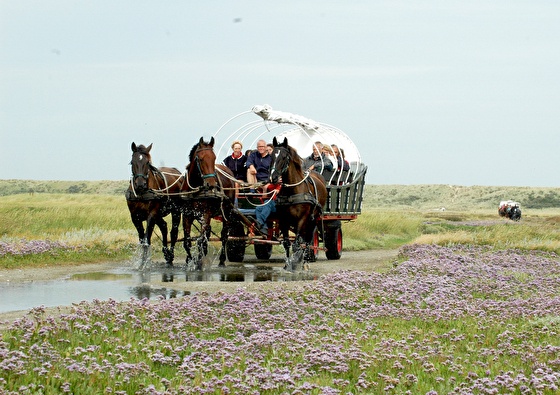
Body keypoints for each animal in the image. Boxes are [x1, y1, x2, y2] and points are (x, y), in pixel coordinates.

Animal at [179, 136, 236, 270]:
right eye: (200, 158)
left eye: (214, 158)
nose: (211, 184)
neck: (195, 190)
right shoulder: (187, 215)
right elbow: (187, 241)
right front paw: (190, 260)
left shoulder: (205, 215)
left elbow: (201, 240)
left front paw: (199, 262)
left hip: (227, 212)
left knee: (224, 235)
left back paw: (221, 260)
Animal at [268, 138, 328, 270]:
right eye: (271, 155)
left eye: (284, 157)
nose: (273, 177)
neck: (292, 191)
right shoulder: (283, 220)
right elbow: (287, 243)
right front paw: (287, 265)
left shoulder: (302, 219)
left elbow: (297, 244)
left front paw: (295, 264)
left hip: (313, 218)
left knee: (308, 240)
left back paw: (305, 262)